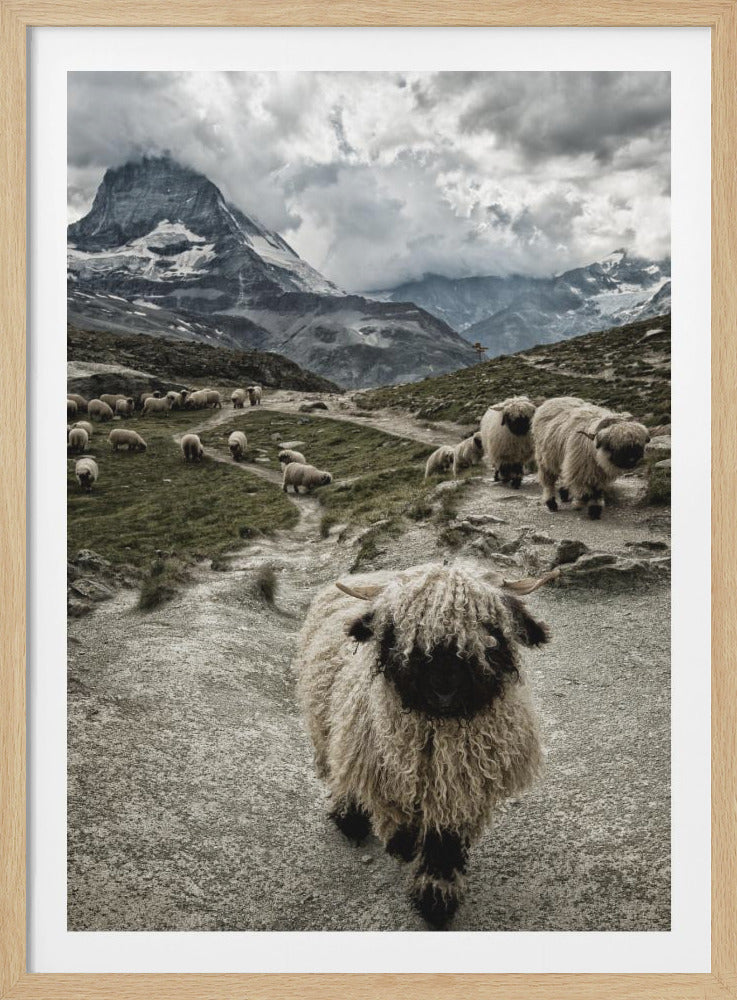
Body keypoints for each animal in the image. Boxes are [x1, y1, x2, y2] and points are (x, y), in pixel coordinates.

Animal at [295, 561, 557, 927]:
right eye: (398, 630)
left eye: (490, 629)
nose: (443, 684)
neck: (441, 733)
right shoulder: (387, 773)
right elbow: (399, 822)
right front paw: (402, 846)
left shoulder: (460, 791)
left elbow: (444, 844)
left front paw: (436, 898)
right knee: (339, 767)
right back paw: (349, 814)